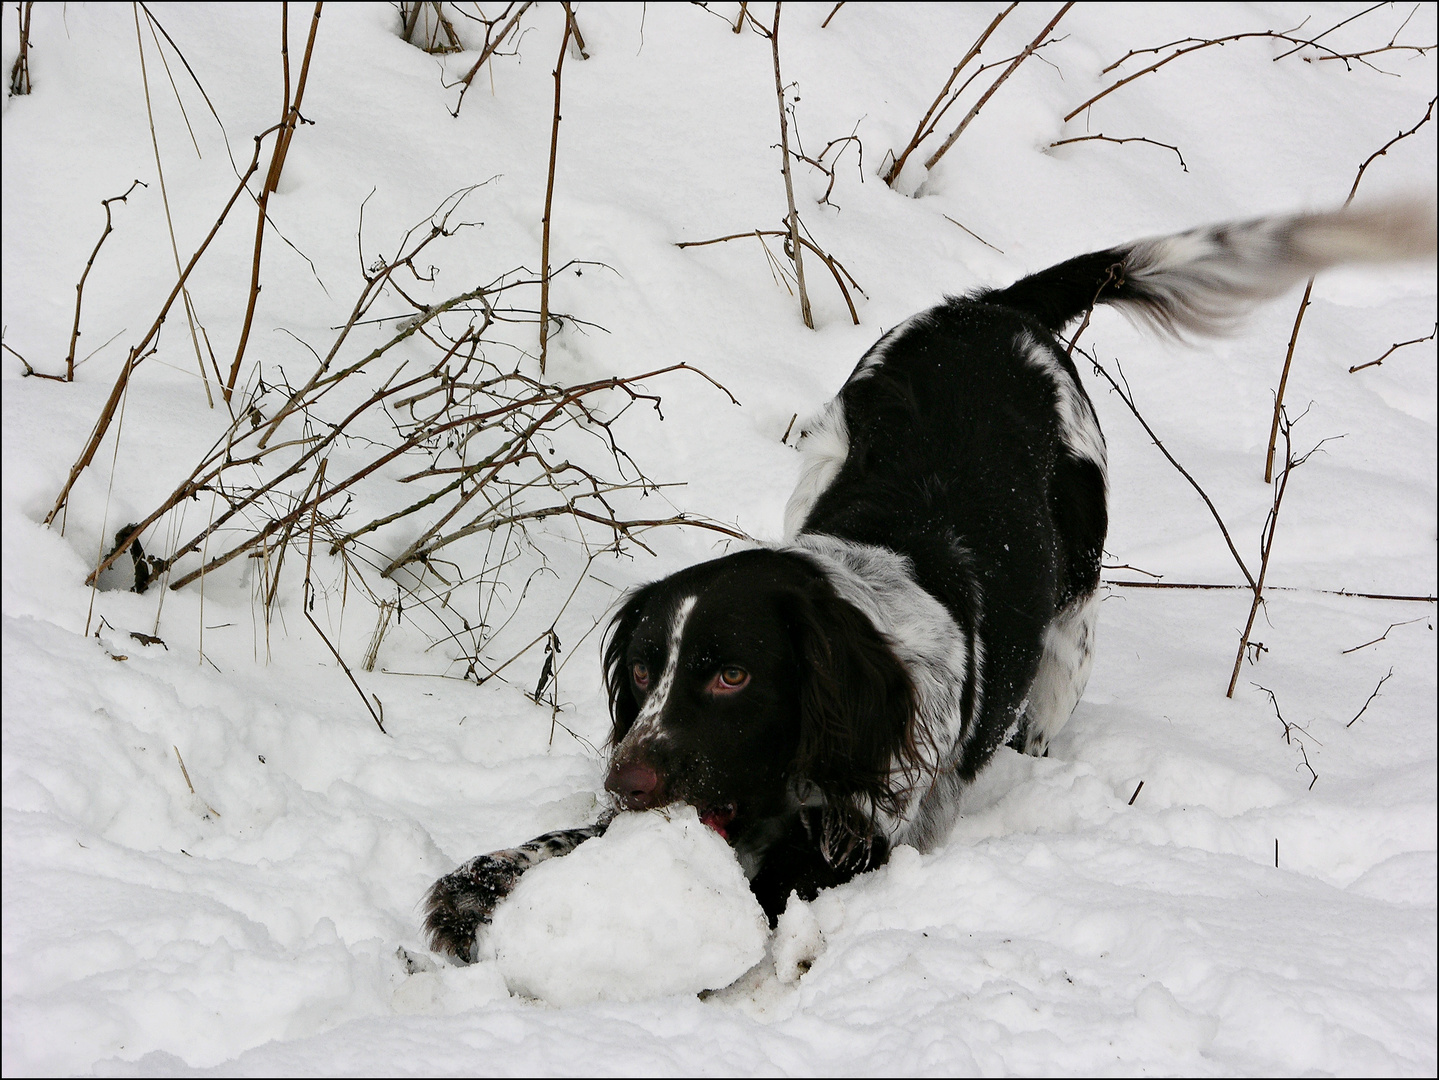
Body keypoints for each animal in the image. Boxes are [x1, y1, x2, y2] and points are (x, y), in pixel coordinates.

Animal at [420, 201, 1433, 960]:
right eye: (641, 670)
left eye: (733, 674)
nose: (623, 779)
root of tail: (997, 307)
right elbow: (570, 846)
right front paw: (479, 884)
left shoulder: (854, 843)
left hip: (1070, 630)